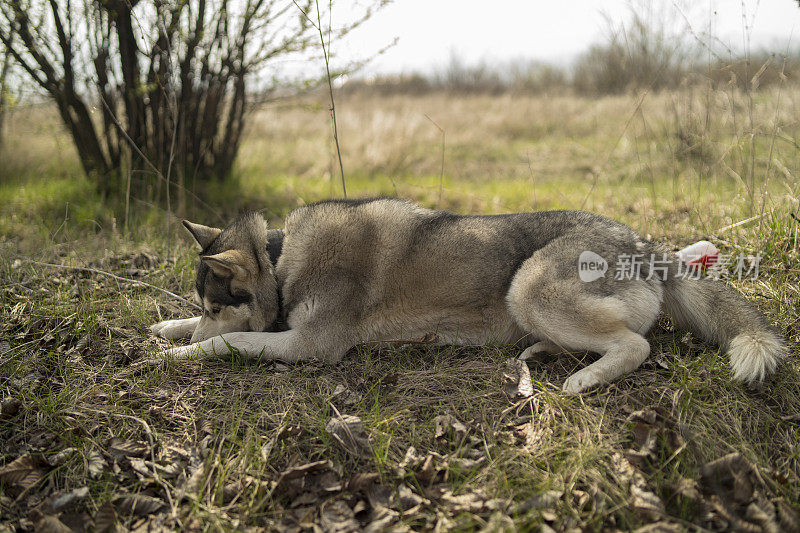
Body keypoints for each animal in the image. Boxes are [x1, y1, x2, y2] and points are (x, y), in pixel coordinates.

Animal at [147, 197, 784, 392]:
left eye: (216, 307)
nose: (199, 318)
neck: (280, 262)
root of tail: (647, 246)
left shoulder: (310, 346)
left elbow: (226, 345)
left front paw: (176, 353)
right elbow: (207, 333)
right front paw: (166, 331)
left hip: (528, 288)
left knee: (635, 346)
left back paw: (582, 379)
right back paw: (542, 355)